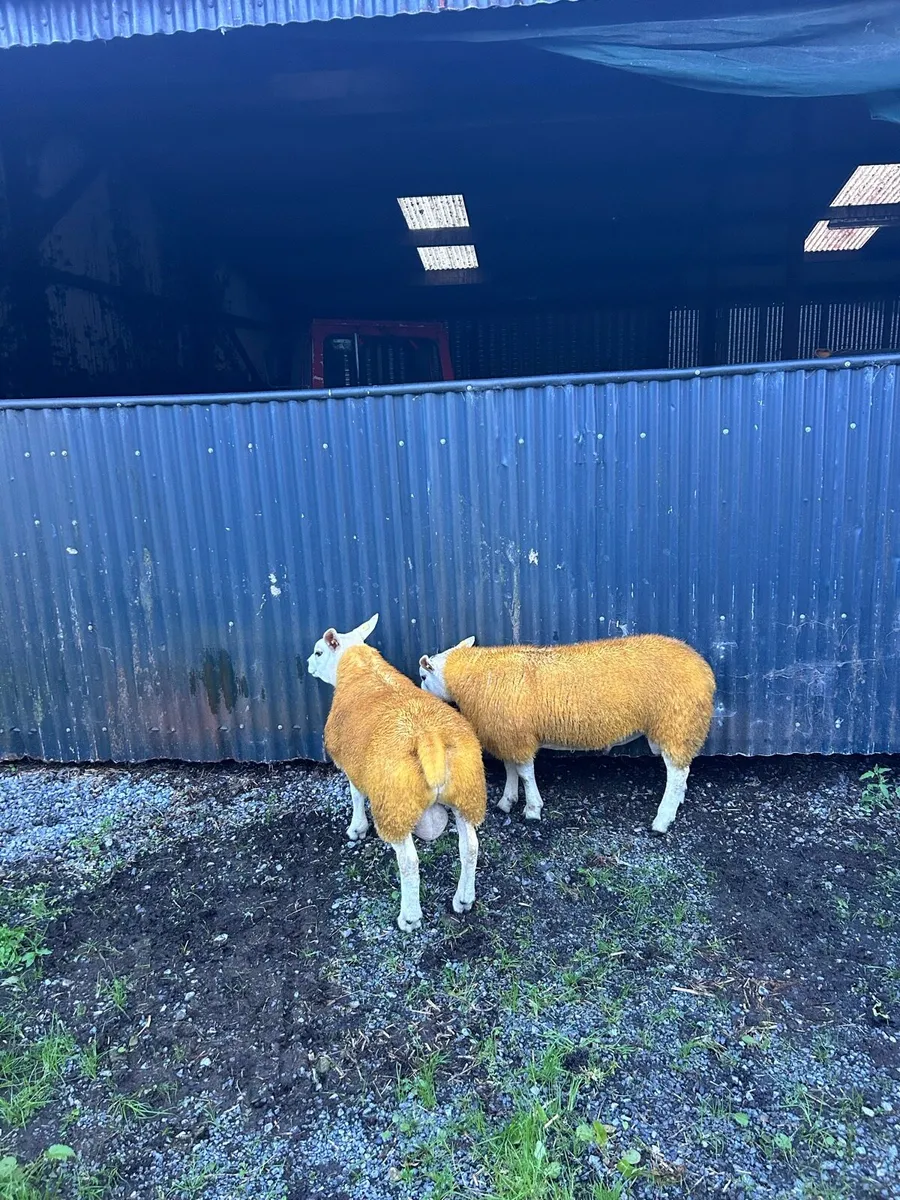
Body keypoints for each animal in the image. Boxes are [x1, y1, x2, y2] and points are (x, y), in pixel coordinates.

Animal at [307, 614, 486, 931]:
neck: (359, 668)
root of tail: (428, 739)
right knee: (470, 847)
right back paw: (464, 899)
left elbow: (355, 794)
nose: (307, 664)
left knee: (409, 862)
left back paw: (410, 917)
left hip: (395, 802)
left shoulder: (353, 765)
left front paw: (357, 828)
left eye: (318, 652)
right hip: (468, 791)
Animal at [418, 634, 715, 835]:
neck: (473, 678)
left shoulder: (519, 737)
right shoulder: (507, 734)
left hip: (677, 722)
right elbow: (510, 769)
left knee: (676, 773)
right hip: (678, 727)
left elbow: (525, 774)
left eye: (423, 677)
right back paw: (677, 802)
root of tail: (703, 668)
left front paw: (532, 809)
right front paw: (507, 801)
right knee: (682, 771)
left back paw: (662, 820)